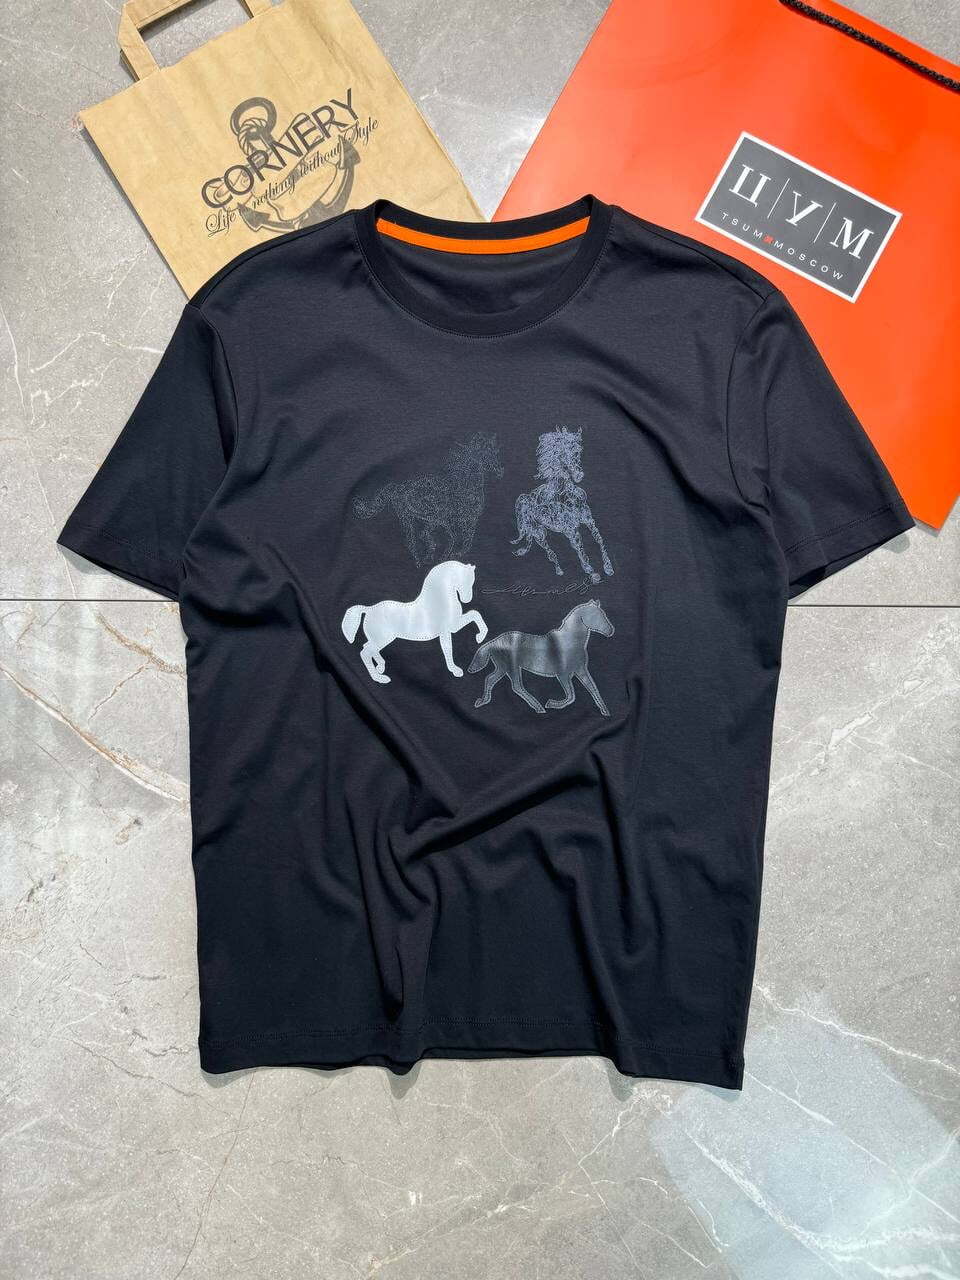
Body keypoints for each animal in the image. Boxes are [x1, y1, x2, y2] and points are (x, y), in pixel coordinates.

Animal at [341, 561, 487, 685]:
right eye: (466, 580)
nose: (467, 599)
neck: (438, 599)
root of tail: (369, 609)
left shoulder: (452, 627)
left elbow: (475, 614)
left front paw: (479, 637)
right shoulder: (450, 628)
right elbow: (449, 648)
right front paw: (456, 669)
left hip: (379, 639)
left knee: (368, 647)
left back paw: (381, 667)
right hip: (382, 639)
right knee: (365, 653)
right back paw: (380, 678)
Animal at [354, 433, 503, 566]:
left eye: (495, 452)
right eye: (487, 453)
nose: (499, 470)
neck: (466, 483)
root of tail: (398, 488)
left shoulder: (462, 519)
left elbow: (462, 538)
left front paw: (444, 556)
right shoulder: (460, 519)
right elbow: (460, 538)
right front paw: (448, 556)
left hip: (416, 517)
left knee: (419, 537)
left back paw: (426, 559)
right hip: (415, 516)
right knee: (414, 540)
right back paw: (422, 561)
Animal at [469, 599, 614, 715]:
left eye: (603, 614)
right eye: (596, 616)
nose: (610, 631)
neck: (570, 641)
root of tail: (494, 642)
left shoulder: (581, 670)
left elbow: (593, 688)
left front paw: (605, 711)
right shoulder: (562, 674)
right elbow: (571, 696)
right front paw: (551, 703)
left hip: (502, 668)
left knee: (490, 679)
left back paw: (482, 701)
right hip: (510, 667)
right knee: (516, 686)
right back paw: (539, 707)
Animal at [512, 427, 613, 583]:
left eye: (577, 450)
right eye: (562, 452)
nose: (579, 475)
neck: (567, 495)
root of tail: (525, 499)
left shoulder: (589, 521)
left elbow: (599, 540)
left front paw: (608, 567)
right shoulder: (570, 529)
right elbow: (580, 549)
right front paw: (592, 573)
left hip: (537, 531)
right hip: (539, 532)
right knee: (549, 552)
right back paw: (559, 571)